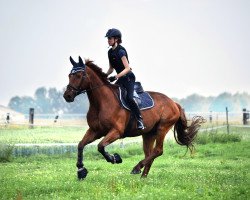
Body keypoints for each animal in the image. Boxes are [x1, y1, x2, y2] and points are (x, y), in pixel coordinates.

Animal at [63, 56, 204, 180]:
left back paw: (136, 168)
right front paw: (81, 171)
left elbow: (100, 146)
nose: (67, 96)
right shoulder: (95, 131)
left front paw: (114, 158)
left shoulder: (116, 132)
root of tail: (174, 103)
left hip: (162, 128)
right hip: (148, 134)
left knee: (158, 150)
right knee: (150, 154)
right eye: (70, 75)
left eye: (79, 75)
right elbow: (81, 145)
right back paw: (143, 177)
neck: (101, 102)